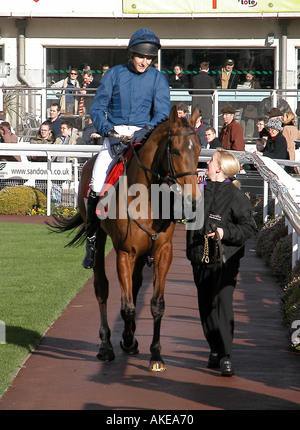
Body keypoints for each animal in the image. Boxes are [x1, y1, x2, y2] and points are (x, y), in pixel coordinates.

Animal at [51, 105, 202, 372]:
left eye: (200, 149)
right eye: (175, 150)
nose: (192, 201)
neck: (147, 198)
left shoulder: (163, 251)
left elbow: (156, 304)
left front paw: (155, 354)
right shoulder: (124, 253)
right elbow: (128, 307)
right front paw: (127, 341)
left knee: (136, 283)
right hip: (101, 240)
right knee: (102, 286)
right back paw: (106, 345)